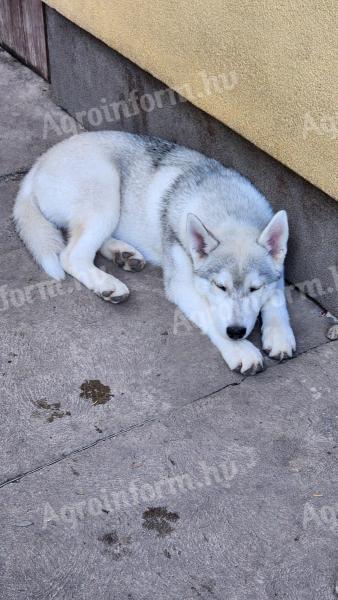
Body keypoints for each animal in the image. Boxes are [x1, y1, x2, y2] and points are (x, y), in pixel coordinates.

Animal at [14, 131, 296, 372]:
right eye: (220, 286)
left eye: (255, 288)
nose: (236, 332)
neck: (227, 208)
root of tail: (40, 162)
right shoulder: (180, 283)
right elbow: (209, 312)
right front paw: (241, 350)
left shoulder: (277, 266)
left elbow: (277, 298)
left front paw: (279, 334)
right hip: (105, 189)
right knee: (72, 255)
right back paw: (107, 283)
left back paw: (123, 254)